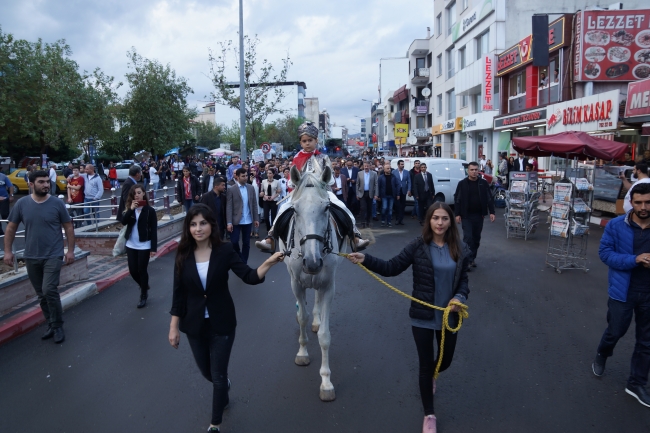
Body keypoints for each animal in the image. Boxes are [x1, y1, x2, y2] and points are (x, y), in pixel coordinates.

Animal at [278, 162, 344, 402]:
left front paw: (326, 382)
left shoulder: (329, 286)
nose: (313, 262)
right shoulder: (296, 283)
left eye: (326, 208)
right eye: (295, 210)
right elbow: (302, 318)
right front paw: (303, 353)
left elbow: (325, 336)